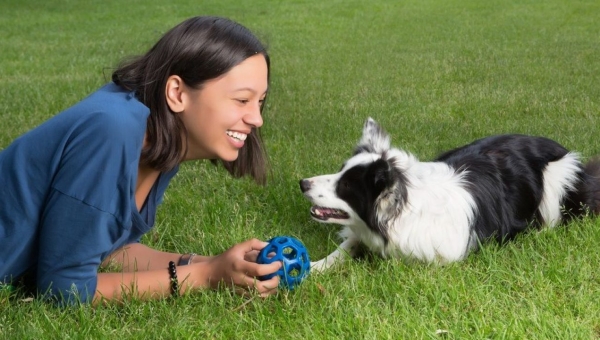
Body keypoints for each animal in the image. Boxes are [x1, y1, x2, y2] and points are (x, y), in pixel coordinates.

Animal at [300, 118, 600, 272]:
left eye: (346, 186)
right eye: (340, 172)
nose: (303, 183)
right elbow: (344, 247)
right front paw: (315, 266)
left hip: (559, 179)